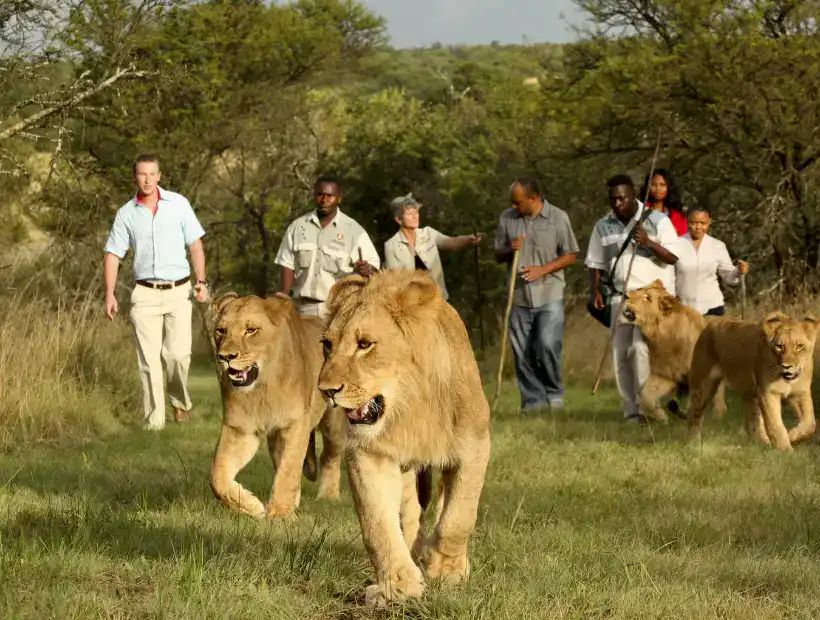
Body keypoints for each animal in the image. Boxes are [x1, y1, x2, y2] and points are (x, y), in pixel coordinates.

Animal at [209, 292, 348, 519]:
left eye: (251, 330)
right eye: (221, 331)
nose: (225, 357)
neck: (262, 389)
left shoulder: (295, 425)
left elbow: (289, 469)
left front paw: (281, 514)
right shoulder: (240, 429)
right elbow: (217, 475)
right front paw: (252, 506)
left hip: (333, 426)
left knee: (329, 456)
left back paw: (329, 495)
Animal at [316, 269, 491, 606]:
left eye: (365, 344)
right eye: (327, 346)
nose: (326, 391)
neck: (410, 408)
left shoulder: (475, 446)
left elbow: (459, 517)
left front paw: (446, 570)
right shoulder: (368, 454)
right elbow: (377, 525)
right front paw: (398, 585)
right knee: (410, 515)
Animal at [623, 279, 727, 422]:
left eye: (648, 298)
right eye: (640, 289)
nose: (625, 296)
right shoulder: (665, 373)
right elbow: (645, 395)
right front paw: (661, 416)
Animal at [686, 311, 819, 451]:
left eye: (799, 346)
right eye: (779, 346)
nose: (786, 366)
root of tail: (712, 321)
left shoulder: (801, 392)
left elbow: (810, 423)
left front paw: (793, 436)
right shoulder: (768, 392)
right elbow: (775, 424)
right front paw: (785, 449)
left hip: (751, 394)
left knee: (753, 421)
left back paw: (762, 443)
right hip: (704, 384)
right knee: (693, 413)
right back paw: (693, 444)